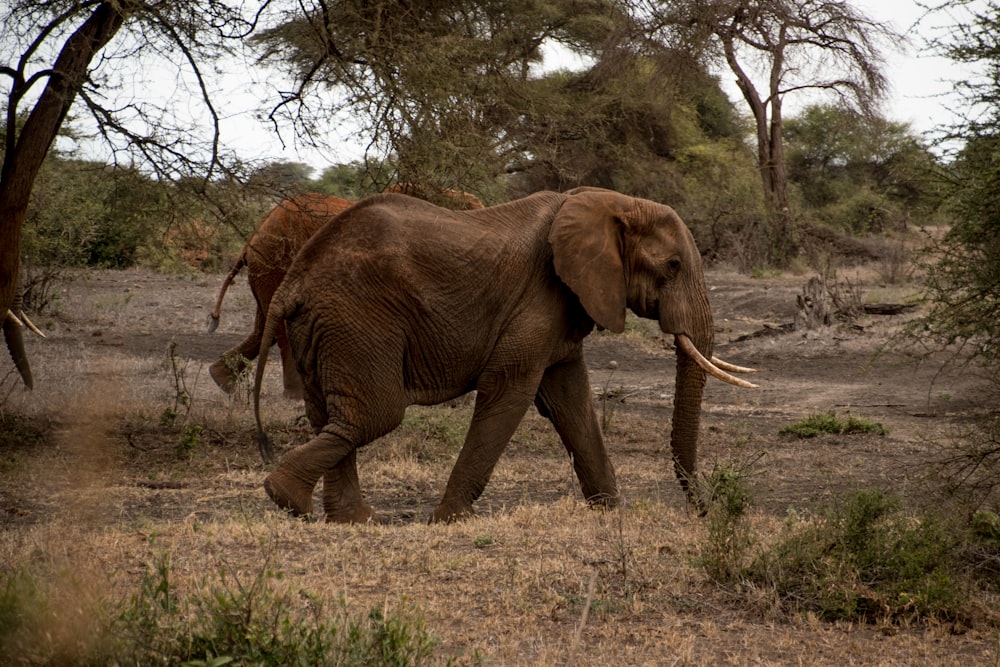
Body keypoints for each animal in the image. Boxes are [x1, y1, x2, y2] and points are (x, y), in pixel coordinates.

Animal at [210, 188, 484, 400]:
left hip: (265, 270)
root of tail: (255, 234)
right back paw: (294, 396)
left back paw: (222, 381)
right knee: (279, 327)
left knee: (264, 324)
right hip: (275, 262)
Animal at [254, 185, 752, 524]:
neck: (607, 202)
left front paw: (612, 515)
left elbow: (570, 400)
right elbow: (510, 392)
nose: (704, 511)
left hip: (323, 327)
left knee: (331, 416)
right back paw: (285, 497)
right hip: (358, 318)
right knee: (374, 415)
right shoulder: (540, 295)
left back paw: (348, 519)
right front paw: (448, 521)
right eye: (673, 266)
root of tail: (295, 279)